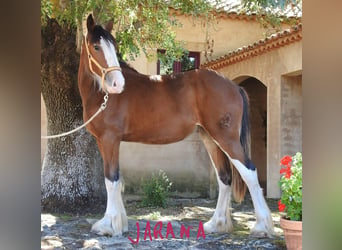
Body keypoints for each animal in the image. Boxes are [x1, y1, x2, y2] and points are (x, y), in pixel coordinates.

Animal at [79, 14, 274, 237]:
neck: (102, 94)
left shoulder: (109, 139)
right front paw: (120, 223)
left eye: (114, 46)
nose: (117, 84)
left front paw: (108, 226)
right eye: (96, 46)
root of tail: (234, 85)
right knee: (224, 177)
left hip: (226, 138)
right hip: (210, 137)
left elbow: (111, 180)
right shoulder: (109, 142)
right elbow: (118, 180)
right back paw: (215, 224)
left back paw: (261, 226)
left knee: (249, 172)